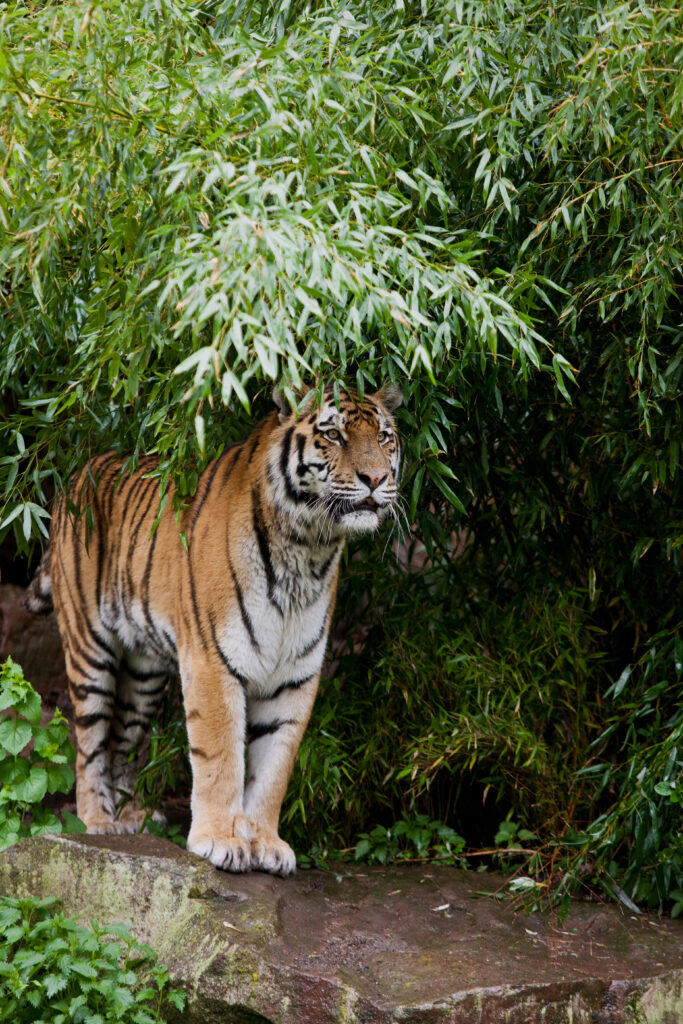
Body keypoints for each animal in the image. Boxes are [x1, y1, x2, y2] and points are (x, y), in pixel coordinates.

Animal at [26, 384, 403, 876]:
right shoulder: (212, 660)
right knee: (88, 742)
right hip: (90, 650)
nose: (375, 478)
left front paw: (266, 844)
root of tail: (78, 472)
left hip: (145, 673)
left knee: (122, 741)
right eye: (334, 434)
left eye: (383, 437)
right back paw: (97, 822)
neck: (308, 548)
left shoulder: (295, 677)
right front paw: (220, 840)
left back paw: (131, 816)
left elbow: (274, 766)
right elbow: (220, 756)